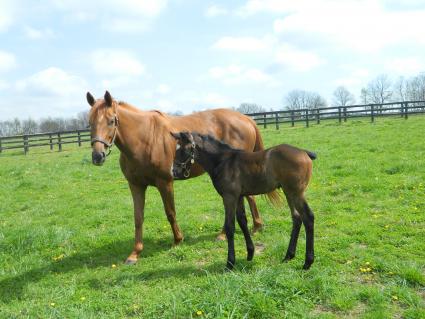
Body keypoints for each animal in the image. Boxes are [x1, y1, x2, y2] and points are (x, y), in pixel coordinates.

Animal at [171, 132, 316, 270]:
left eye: (183, 149)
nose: (174, 172)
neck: (222, 161)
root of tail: (304, 152)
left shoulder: (229, 197)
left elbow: (230, 227)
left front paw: (230, 263)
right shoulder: (239, 196)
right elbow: (242, 221)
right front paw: (250, 253)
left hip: (296, 193)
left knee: (308, 217)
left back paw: (307, 262)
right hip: (288, 192)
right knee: (297, 217)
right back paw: (288, 256)